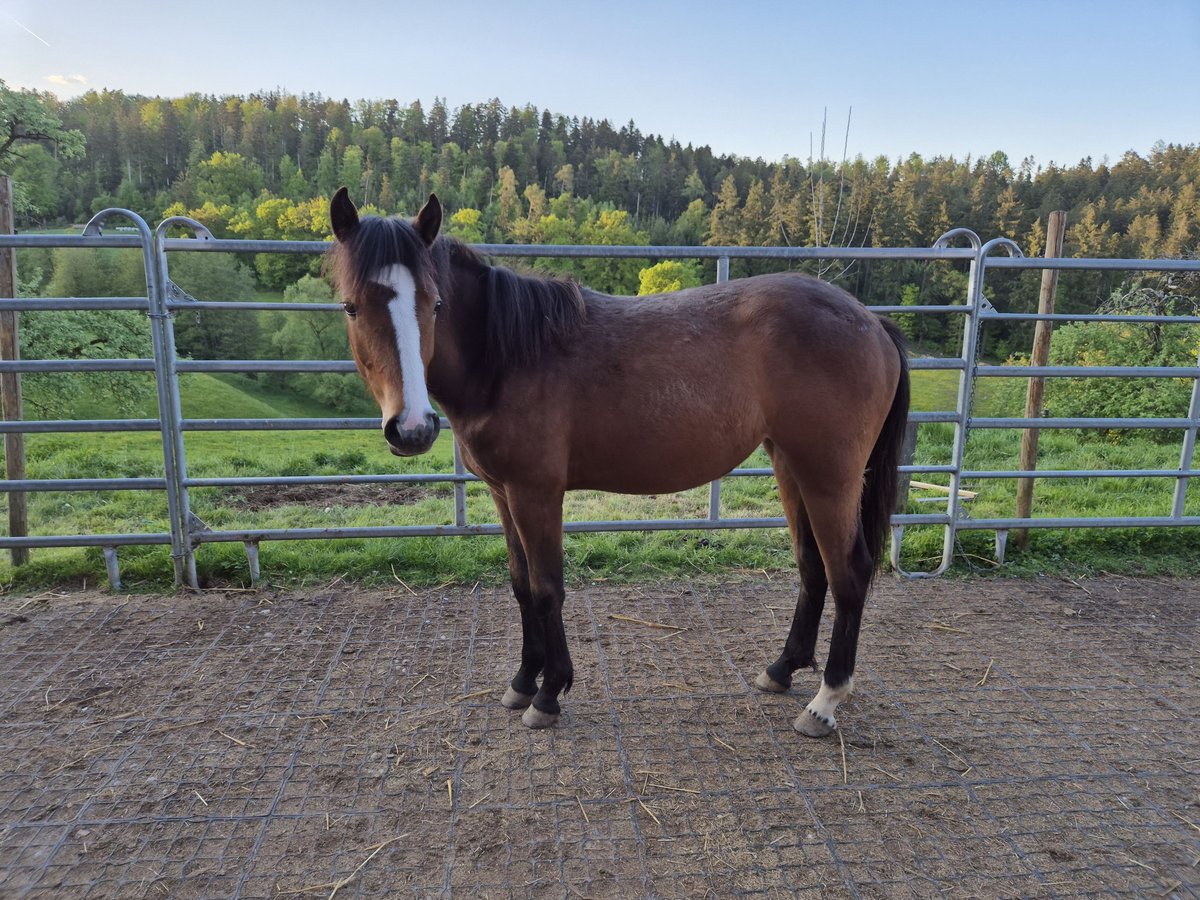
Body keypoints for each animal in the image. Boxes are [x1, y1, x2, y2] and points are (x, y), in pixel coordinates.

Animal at [327, 188, 910, 737]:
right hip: (792, 467)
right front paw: (523, 681)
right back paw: (782, 669)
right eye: (352, 307)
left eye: (435, 304)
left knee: (849, 573)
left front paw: (549, 694)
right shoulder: (502, 492)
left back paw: (826, 701)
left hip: (830, 476)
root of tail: (871, 321)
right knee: (813, 567)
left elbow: (546, 588)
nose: (412, 428)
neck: (509, 357)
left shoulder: (536, 493)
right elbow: (520, 585)